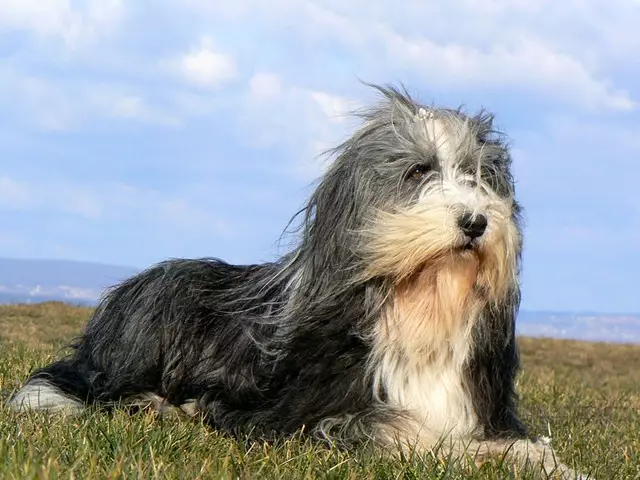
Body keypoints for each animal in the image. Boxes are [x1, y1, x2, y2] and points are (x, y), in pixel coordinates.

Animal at [8, 84, 592, 478]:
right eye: (418, 171)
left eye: (479, 176)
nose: (475, 221)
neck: (420, 309)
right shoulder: (299, 420)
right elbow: (400, 429)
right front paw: (453, 451)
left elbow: (516, 445)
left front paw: (549, 463)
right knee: (111, 392)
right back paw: (163, 407)